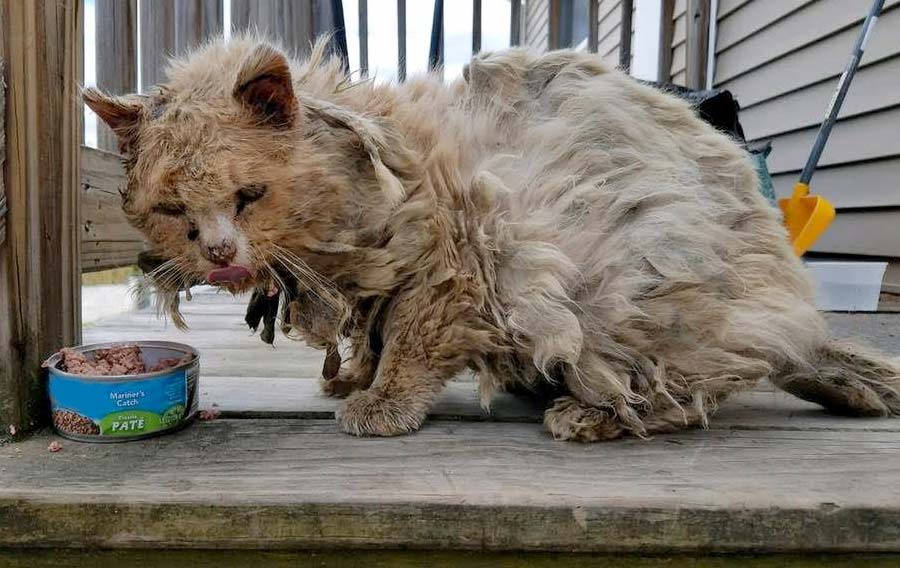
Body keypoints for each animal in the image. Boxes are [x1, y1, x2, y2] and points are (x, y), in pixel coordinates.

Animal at [84, 35, 900, 442]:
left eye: (248, 197)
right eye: (172, 209)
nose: (220, 254)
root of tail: (798, 317)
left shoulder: (459, 265)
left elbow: (408, 346)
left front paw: (380, 406)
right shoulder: (388, 283)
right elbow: (371, 335)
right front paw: (352, 379)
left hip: (634, 293)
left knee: (692, 392)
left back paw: (587, 415)